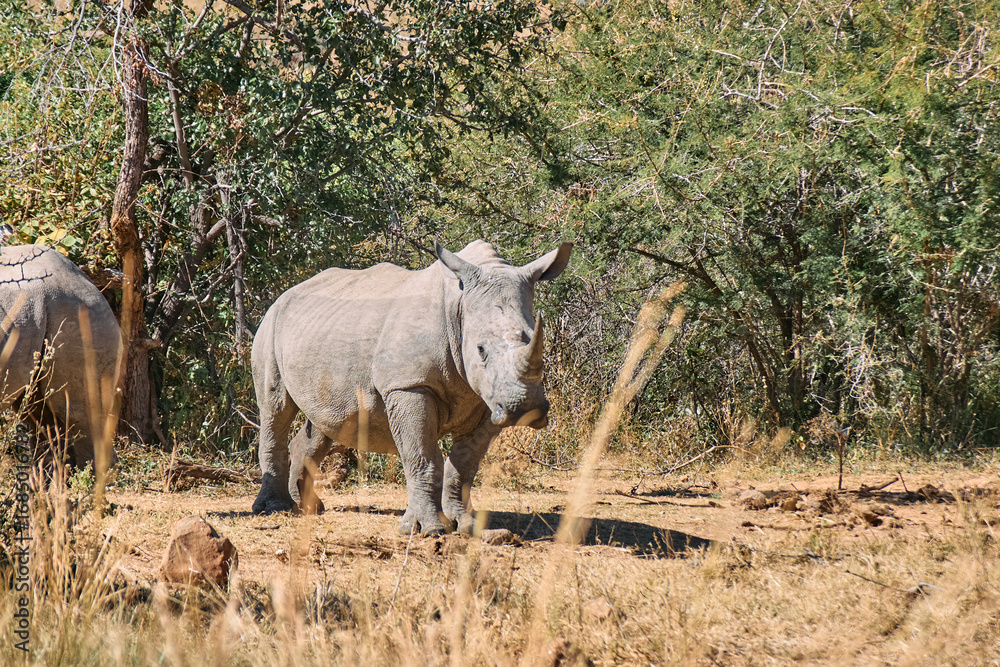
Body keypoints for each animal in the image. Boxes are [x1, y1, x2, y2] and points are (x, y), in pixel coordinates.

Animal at [252, 239, 573, 534]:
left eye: (537, 342)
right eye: (480, 350)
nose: (524, 408)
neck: (460, 306)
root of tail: (285, 294)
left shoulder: (489, 400)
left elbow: (464, 465)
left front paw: (466, 525)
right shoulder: (408, 385)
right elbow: (423, 457)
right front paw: (428, 529)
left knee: (328, 419)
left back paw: (309, 508)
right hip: (270, 324)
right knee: (275, 408)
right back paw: (274, 510)